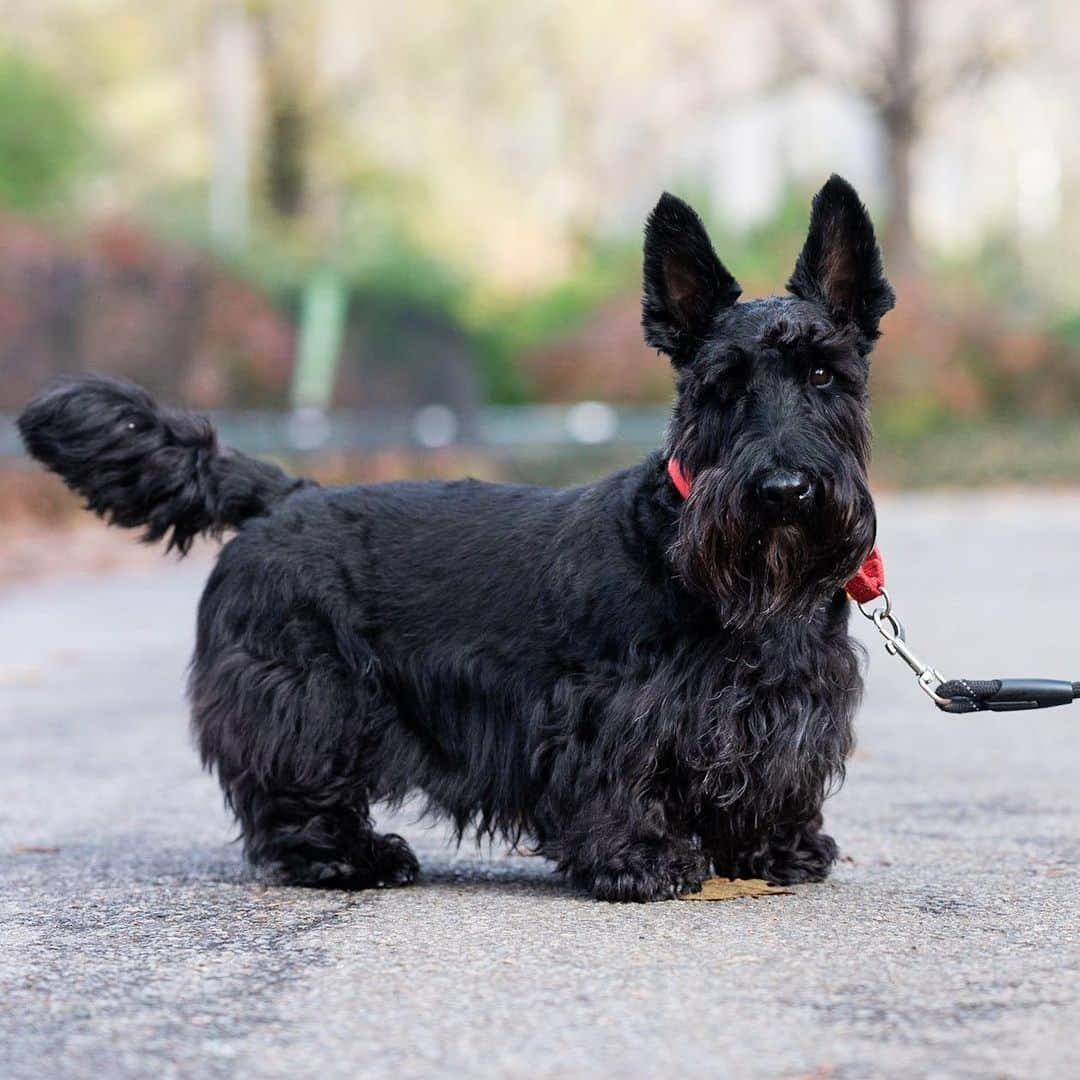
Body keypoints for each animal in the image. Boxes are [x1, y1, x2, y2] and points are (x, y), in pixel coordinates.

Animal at [19, 177, 894, 902]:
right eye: (722, 385)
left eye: (824, 375)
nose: (785, 491)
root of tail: (285, 496)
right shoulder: (604, 706)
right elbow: (621, 776)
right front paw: (639, 859)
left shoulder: (791, 697)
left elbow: (776, 772)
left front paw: (778, 847)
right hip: (308, 697)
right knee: (294, 794)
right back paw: (350, 859)